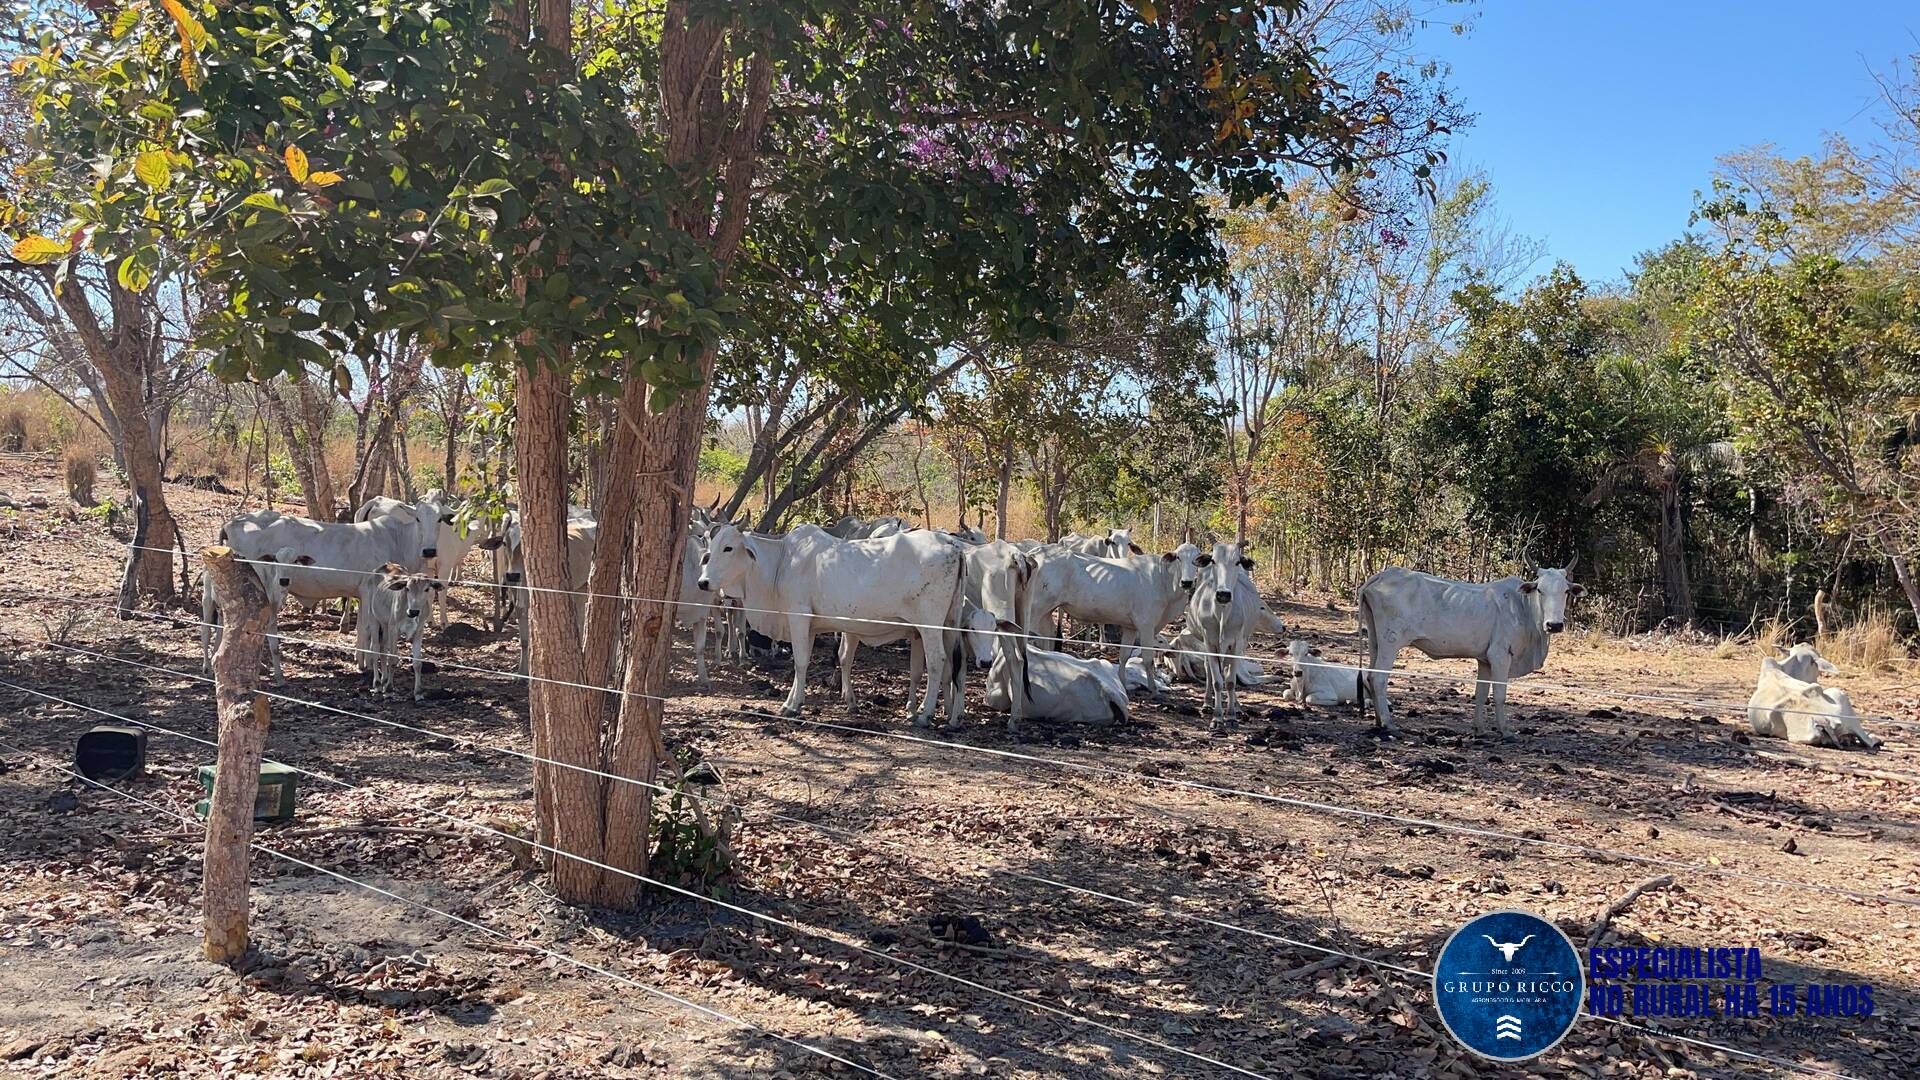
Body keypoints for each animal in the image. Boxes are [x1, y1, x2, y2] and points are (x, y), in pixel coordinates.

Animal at [360, 557, 435, 703]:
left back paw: (384, 681)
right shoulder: (394, 629)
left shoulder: (419, 631)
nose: (414, 611)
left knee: (383, 648)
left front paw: (418, 693)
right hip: (374, 619)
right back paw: (378, 684)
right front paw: (389, 690)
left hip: (385, 625)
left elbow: (417, 663)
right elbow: (393, 660)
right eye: (407, 588)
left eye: (427, 589)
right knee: (375, 649)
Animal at [698, 522, 967, 722]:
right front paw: (793, 701)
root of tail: (953, 546)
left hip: (929, 626)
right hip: (949, 624)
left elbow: (800, 663)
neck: (781, 562)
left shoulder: (798, 617)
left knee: (937, 661)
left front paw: (792, 707)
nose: (703, 582)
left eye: (728, 548)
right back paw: (950, 715)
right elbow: (803, 663)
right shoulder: (810, 626)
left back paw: (925, 714)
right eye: (709, 549)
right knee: (954, 666)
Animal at [1359, 557, 1582, 734]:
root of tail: (1381, 576)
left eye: (1565, 591)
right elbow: (1499, 695)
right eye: (1540, 590)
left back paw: (1378, 722)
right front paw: (1505, 731)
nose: (1554, 625)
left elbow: (1481, 694)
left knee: (1369, 676)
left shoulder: (1485, 660)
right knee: (1378, 678)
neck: (1522, 607)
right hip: (1391, 642)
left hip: (1375, 641)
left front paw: (1479, 729)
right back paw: (1389, 724)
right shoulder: (1500, 656)